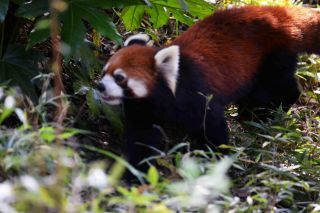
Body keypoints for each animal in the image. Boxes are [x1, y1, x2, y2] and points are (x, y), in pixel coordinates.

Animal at [97, 6, 320, 173]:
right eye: (104, 72)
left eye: (120, 78)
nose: (100, 86)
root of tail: (278, 14)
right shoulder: (143, 109)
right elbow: (142, 141)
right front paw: (135, 173)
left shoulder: (195, 94)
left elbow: (212, 127)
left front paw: (216, 161)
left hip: (272, 57)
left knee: (275, 89)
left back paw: (261, 116)